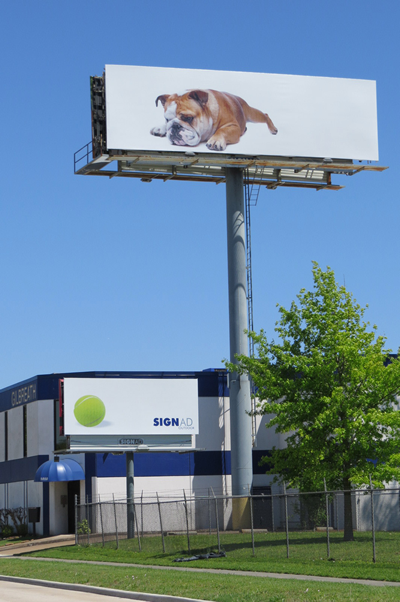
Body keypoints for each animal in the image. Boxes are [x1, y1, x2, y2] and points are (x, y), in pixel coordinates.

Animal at [150, 89, 278, 150]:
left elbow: (222, 130)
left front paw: (216, 140)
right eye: (167, 119)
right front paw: (161, 128)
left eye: (188, 118)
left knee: (265, 114)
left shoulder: (233, 126)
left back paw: (273, 129)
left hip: (252, 114)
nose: (175, 126)